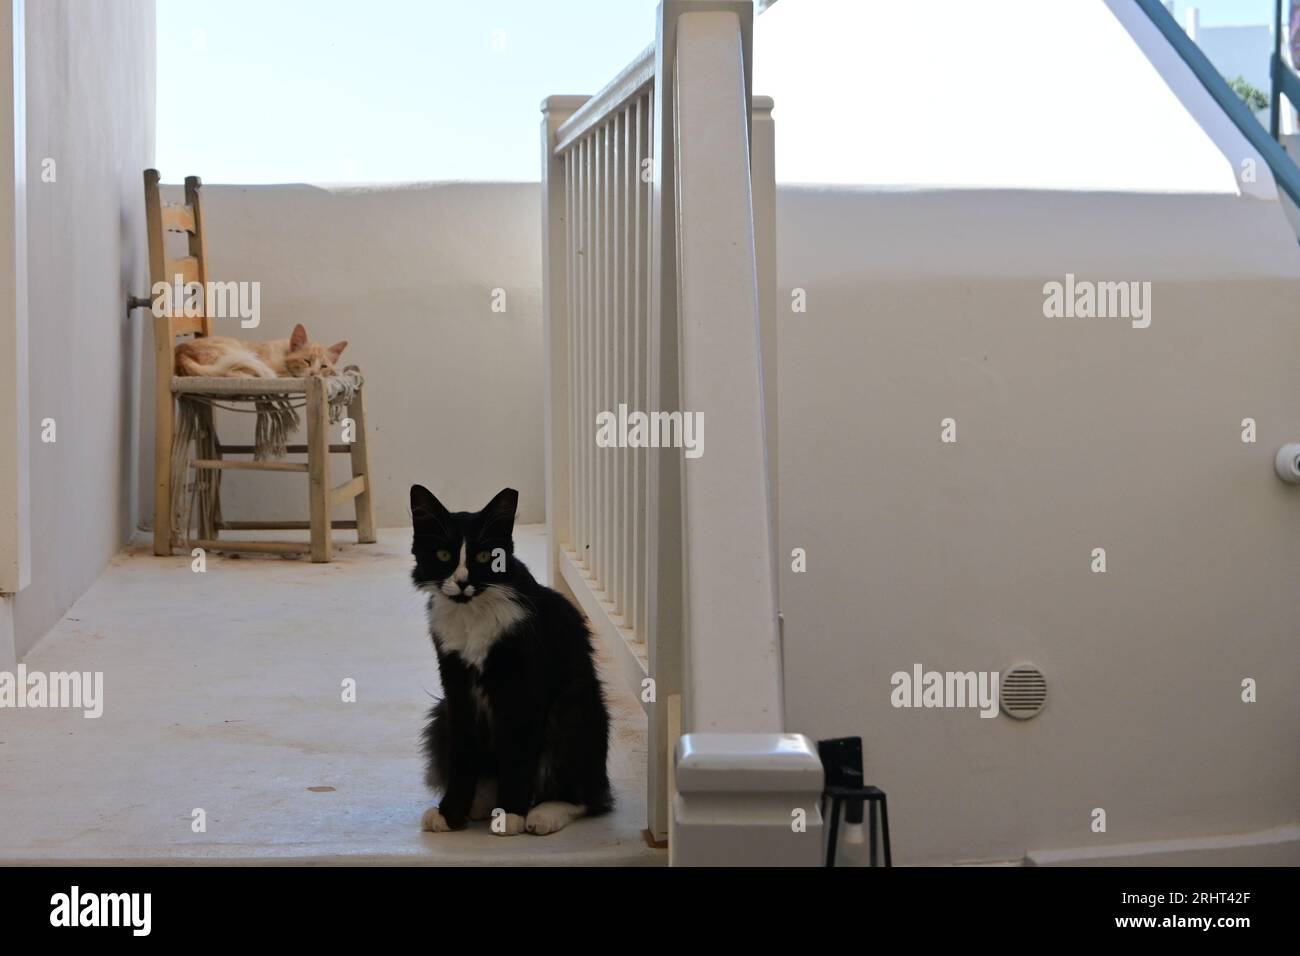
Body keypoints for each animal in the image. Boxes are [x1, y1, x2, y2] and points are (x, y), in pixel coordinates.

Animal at [408, 486, 611, 837]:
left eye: (484, 557)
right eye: (444, 556)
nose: (462, 582)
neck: (472, 613)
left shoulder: (521, 691)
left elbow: (517, 757)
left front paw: (511, 814)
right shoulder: (456, 690)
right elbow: (462, 759)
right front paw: (450, 813)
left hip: (572, 710)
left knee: (590, 798)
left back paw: (543, 813)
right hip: (441, 714)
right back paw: (479, 804)